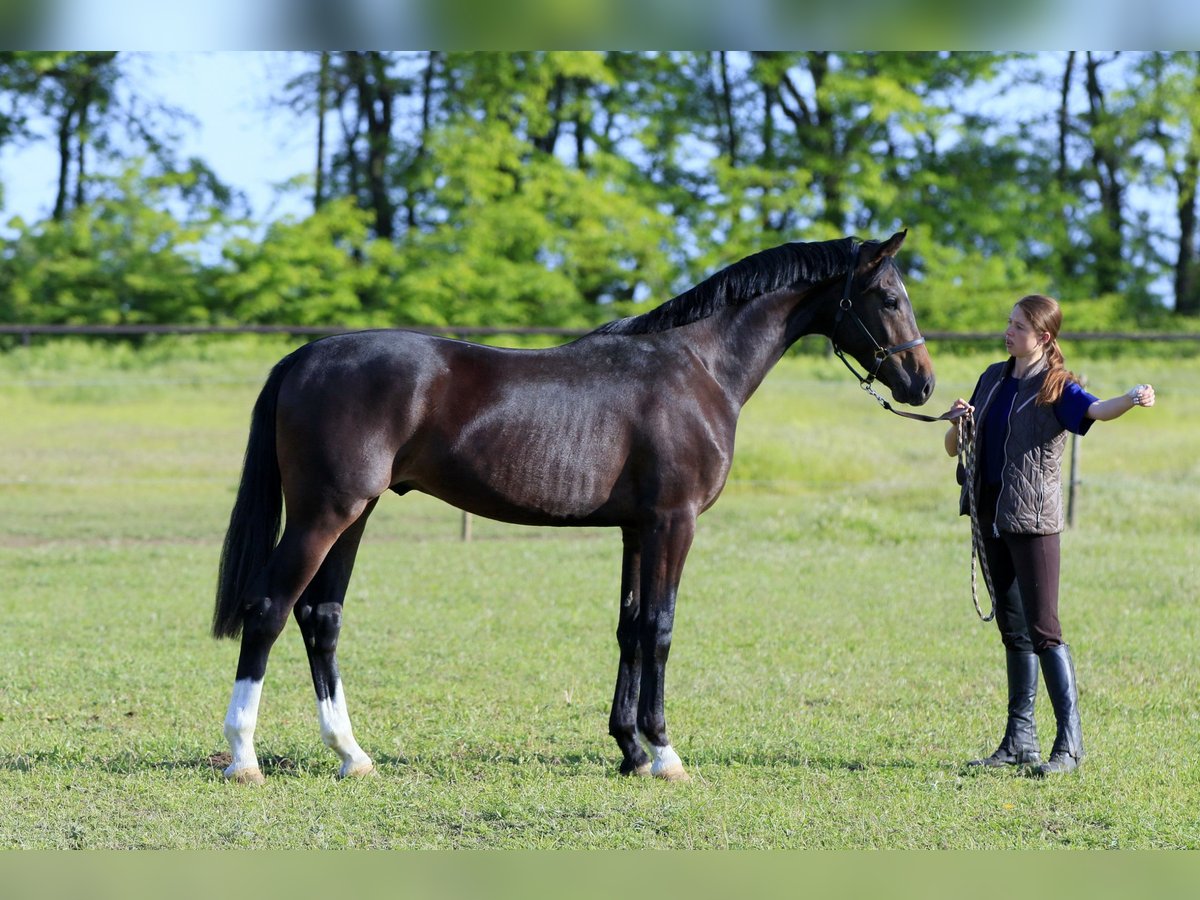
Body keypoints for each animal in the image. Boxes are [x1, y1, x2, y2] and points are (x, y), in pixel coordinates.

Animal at [211, 230, 931, 782]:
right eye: (890, 298)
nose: (921, 382)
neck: (697, 367)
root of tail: (305, 356)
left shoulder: (637, 528)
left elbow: (630, 628)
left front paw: (630, 750)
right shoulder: (673, 523)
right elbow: (660, 628)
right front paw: (664, 753)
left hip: (354, 515)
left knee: (321, 617)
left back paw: (351, 754)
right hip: (324, 513)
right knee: (269, 609)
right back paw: (244, 757)